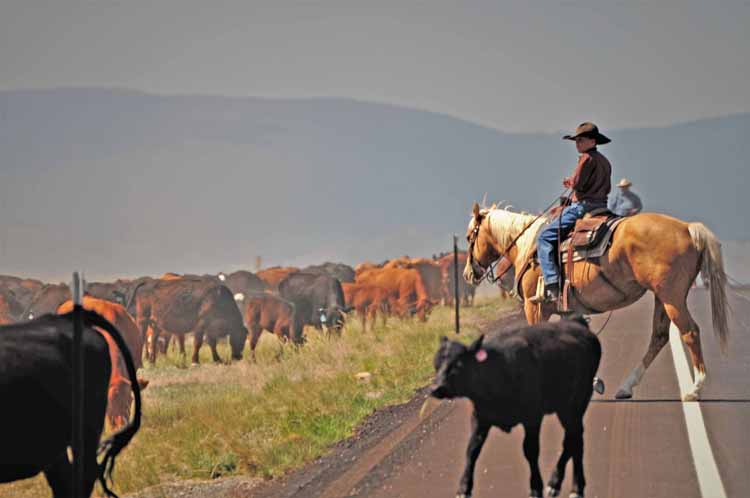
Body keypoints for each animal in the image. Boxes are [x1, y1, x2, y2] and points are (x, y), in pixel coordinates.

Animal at [432, 318, 604, 498]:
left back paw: (565, 485)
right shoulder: (480, 418)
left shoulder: (533, 417)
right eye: (436, 364)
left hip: (573, 406)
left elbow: (530, 450)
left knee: (572, 440)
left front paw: (536, 488)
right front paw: (464, 488)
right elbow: (472, 450)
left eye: (458, 365)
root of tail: (577, 323)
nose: (437, 388)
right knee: (575, 440)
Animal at [464, 202, 728, 400]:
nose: (468, 274)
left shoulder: (535, 307)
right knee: (659, 336)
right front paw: (591, 382)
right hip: (662, 297)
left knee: (690, 332)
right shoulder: (569, 310)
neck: (526, 248)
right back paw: (626, 387)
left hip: (672, 297)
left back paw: (695, 389)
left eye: (469, 237)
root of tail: (687, 228)